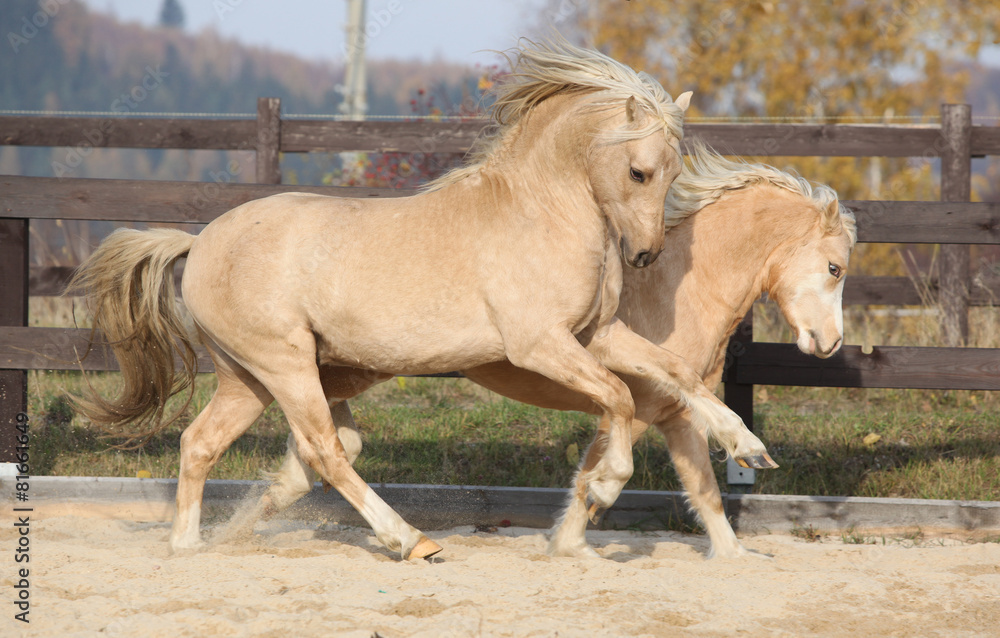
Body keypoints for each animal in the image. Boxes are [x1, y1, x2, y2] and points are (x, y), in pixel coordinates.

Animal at [69, 38, 742, 560]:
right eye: (638, 171)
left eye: (673, 171)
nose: (644, 255)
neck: (541, 212)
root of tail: (201, 242)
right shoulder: (540, 345)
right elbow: (620, 397)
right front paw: (604, 487)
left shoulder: (593, 336)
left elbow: (675, 373)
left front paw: (744, 446)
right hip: (284, 365)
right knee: (325, 450)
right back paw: (411, 540)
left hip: (248, 378)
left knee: (201, 443)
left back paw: (188, 545)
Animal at [259, 144, 857, 559]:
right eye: (834, 267)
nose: (829, 343)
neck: (680, 289)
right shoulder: (634, 410)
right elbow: (595, 477)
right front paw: (571, 539)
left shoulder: (675, 416)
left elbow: (704, 491)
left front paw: (736, 548)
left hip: (342, 371)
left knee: (315, 442)